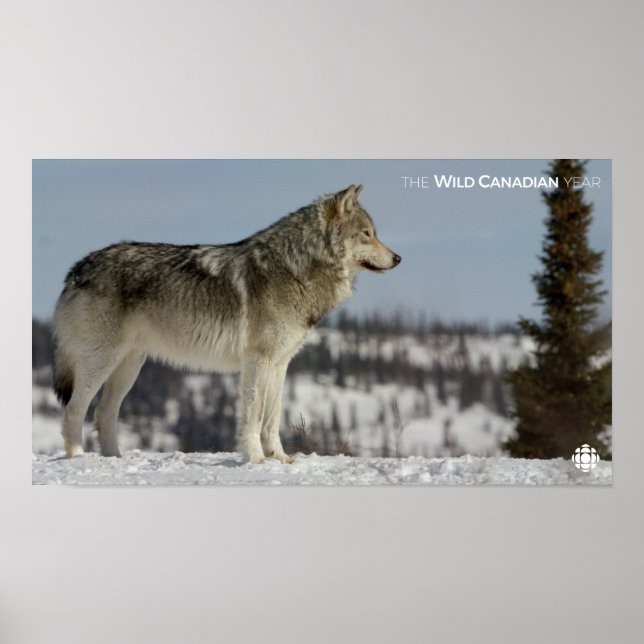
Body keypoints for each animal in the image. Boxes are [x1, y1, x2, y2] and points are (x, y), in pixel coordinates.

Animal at [53, 184, 401, 463]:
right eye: (367, 234)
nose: (398, 259)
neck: (296, 269)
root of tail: (77, 268)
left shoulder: (280, 363)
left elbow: (272, 418)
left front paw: (280, 459)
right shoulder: (257, 359)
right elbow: (253, 415)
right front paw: (255, 459)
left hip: (130, 366)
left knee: (103, 412)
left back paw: (113, 459)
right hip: (102, 361)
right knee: (74, 409)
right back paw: (78, 459)